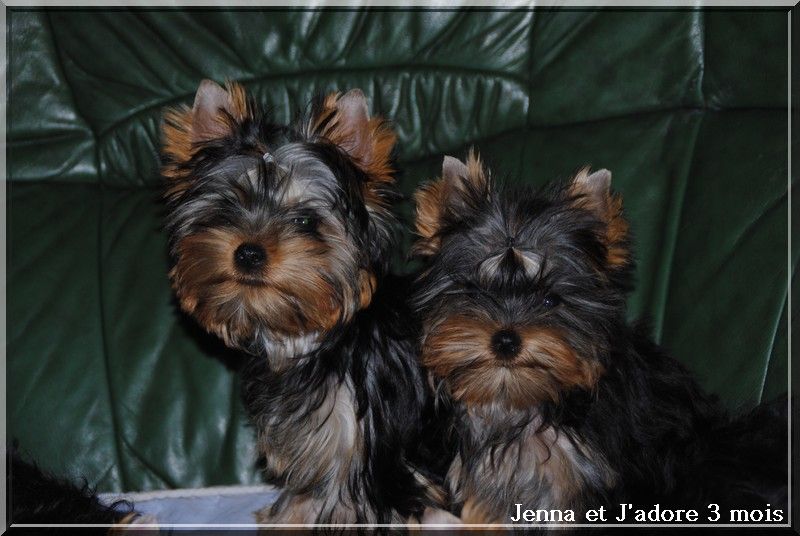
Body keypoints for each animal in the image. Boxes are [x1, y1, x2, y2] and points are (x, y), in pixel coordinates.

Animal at [161, 80, 445, 526]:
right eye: (227, 207)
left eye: (305, 221)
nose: (248, 253)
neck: (308, 338)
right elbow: (305, 496)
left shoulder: (369, 447)